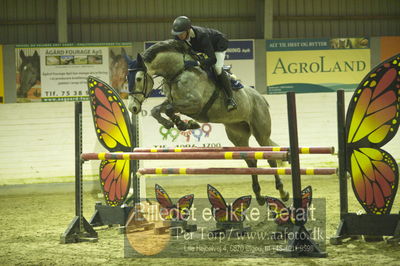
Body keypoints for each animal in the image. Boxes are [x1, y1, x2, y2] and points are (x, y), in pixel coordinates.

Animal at [124, 40, 288, 206]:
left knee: (270, 159)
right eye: (126, 79)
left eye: (138, 79)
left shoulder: (195, 104)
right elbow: (157, 110)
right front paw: (180, 124)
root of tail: (260, 97)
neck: (177, 73)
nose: (133, 107)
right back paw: (259, 196)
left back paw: (283, 192)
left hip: (260, 132)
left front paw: (185, 124)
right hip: (237, 135)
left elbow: (168, 109)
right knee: (251, 161)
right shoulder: (174, 102)